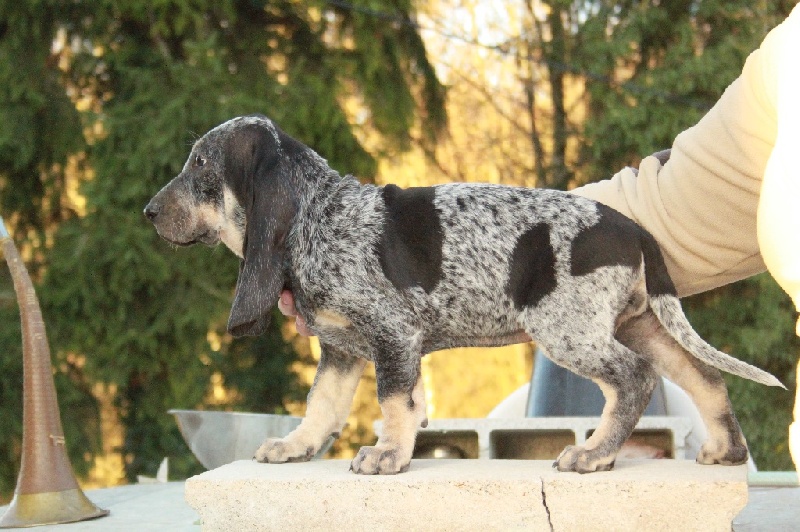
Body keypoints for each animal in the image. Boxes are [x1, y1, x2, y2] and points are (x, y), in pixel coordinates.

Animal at [144, 114, 783, 474]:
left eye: (199, 163)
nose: (149, 212)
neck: (317, 215)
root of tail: (630, 227)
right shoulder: (342, 348)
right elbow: (321, 405)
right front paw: (296, 447)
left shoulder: (392, 336)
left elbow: (395, 405)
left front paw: (389, 455)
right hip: (639, 322)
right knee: (704, 377)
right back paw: (725, 450)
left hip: (569, 330)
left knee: (633, 379)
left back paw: (595, 452)